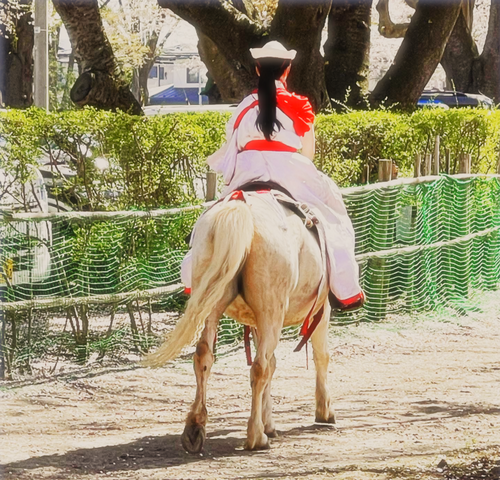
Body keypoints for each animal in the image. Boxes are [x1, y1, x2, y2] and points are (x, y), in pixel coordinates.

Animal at [143, 189, 334, 452]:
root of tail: (241, 209)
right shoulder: (320, 311)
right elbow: (319, 356)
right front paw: (324, 411)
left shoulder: (254, 322)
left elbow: (274, 363)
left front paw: (269, 422)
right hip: (271, 311)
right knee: (259, 367)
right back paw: (256, 437)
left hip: (212, 303)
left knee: (204, 355)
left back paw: (194, 428)